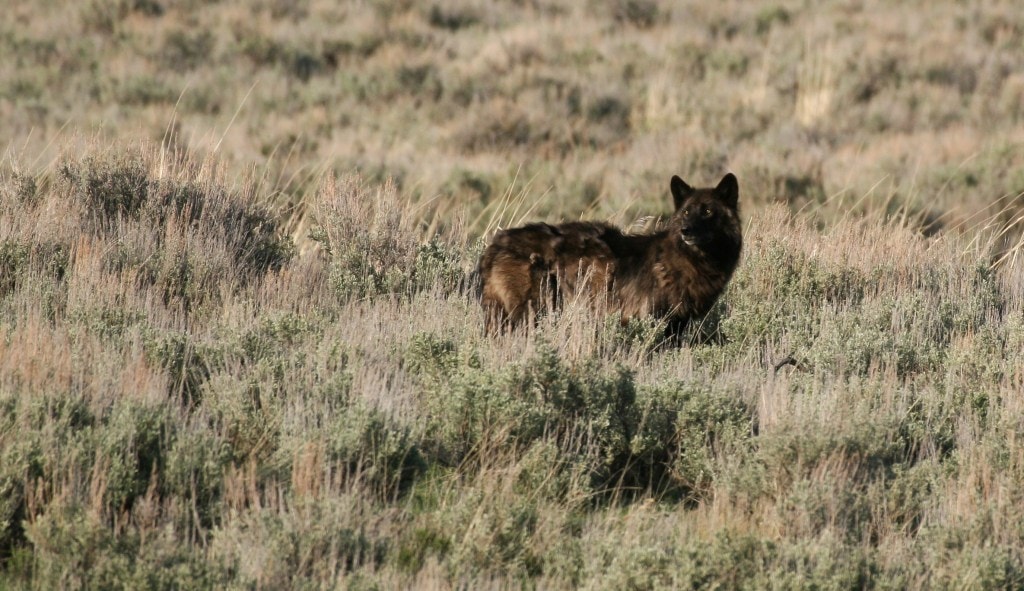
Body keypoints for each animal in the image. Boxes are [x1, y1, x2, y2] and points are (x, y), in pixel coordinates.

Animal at [475, 173, 741, 338]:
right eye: (686, 212)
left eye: (707, 211)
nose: (686, 230)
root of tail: (494, 245)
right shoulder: (649, 320)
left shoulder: (676, 325)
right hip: (530, 314)